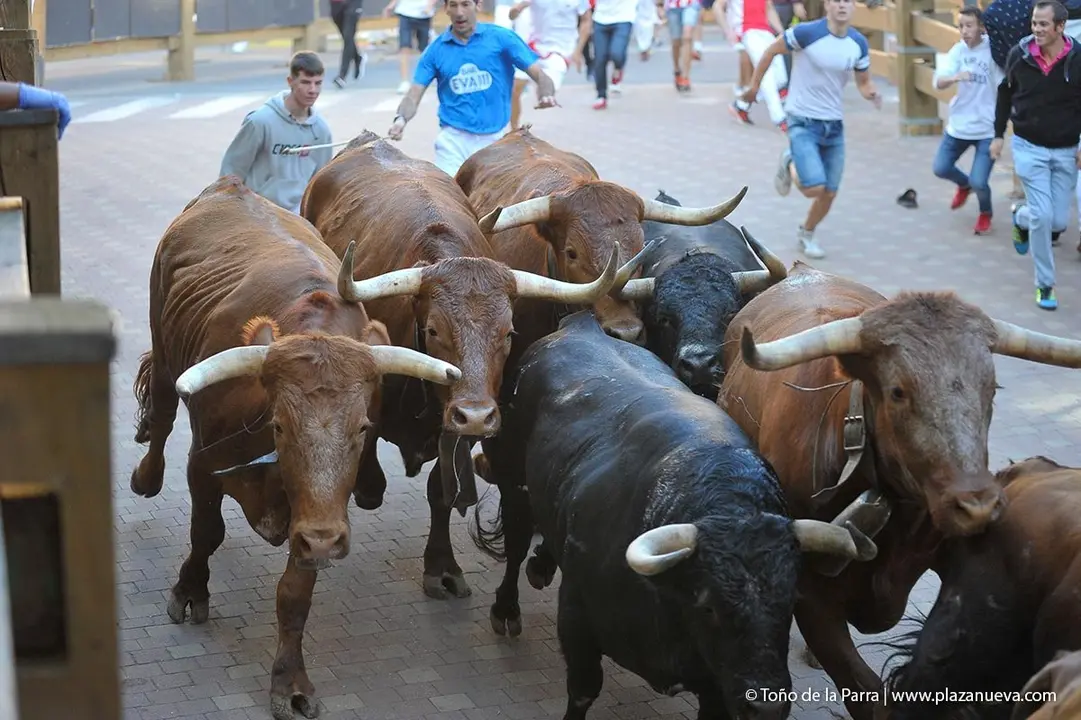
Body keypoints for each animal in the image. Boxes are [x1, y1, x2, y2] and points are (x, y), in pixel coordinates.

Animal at [129, 177, 461, 720]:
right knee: (159, 415)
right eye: (280, 425)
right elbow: (206, 532)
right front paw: (190, 590)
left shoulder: (315, 519)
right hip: (162, 341)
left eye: (364, 427)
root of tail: (228, 187)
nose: (327, 540)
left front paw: (290, 683)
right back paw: (145, 476)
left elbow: (294, 594)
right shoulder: (203, 465)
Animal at [300, 131, 630, 600]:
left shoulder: (458, 430)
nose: (475, 414)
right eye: (433, 330)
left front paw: (442, 567)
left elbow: (441, 491)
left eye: (508, 333)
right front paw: (367, 485)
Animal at [468, 311, 877, 720]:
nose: (765, 703)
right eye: (709, 606)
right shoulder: (576, 618)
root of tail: (579, 323)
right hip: (513, 482)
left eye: (791, 601)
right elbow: (583, 691)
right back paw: (507, 608)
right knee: (517, 542)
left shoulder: (717, 687)